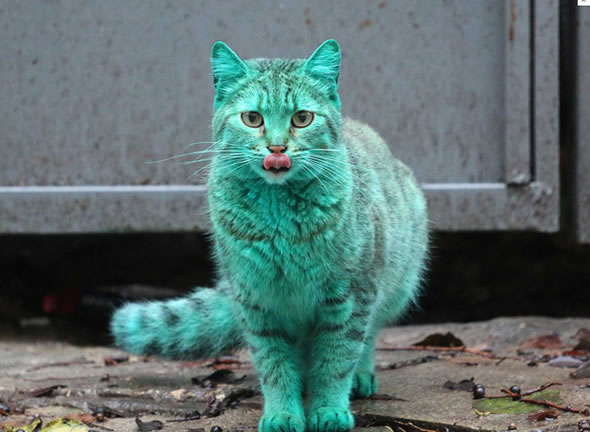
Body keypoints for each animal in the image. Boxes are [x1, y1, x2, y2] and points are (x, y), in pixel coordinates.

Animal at [111, 39, 428, 432]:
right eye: (252, 118)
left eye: (302, 118)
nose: (277, 147)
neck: (280, 220)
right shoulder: (258, 302)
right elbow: (274, 365)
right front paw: (282, 413)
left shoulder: (351, 297)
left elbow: (337, 359)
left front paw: (329, 408)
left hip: (394, 286)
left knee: (367, 338)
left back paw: (360, 376)